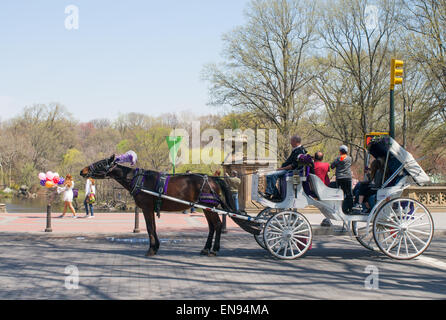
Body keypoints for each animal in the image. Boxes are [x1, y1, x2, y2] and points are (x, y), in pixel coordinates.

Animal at [80, 155, 258, 258]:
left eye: (100, 163)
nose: (83, 170)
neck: (139, 179)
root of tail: (213, 179)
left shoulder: (146, 208)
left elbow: (150, 228)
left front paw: (152, 249)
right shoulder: (150, 209)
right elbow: (153, 227)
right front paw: (156, 247)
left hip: (208, 207)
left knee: (218, 225)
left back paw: (214, 249)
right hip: (207, 208)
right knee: (212, 227)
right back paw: (206, 249)